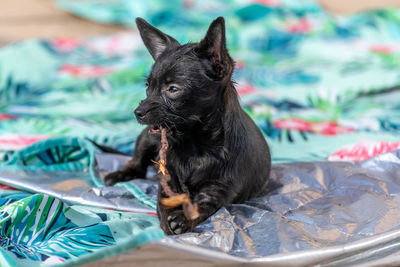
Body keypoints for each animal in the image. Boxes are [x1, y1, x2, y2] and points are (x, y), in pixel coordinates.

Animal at [104, 16, 270, 236]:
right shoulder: (167, 177)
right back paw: (119, 174)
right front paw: (170, 215)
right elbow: (166, 197)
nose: (138, 112)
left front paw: (182, 219)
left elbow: (202, 205)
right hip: (146, 138)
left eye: (173, 89)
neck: (195, 144)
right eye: (148, 87)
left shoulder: (218, 189)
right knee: (137, 165)